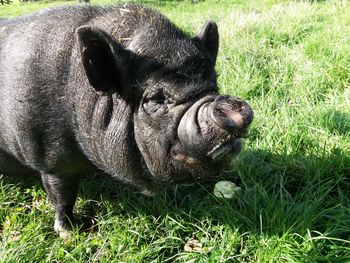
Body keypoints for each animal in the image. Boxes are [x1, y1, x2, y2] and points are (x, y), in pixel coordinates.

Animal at [0, 4, 253, 239]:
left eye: (214, 84)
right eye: (156, 99)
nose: (232, 107)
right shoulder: (53, 162)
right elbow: (62, 196)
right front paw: (70, 233)